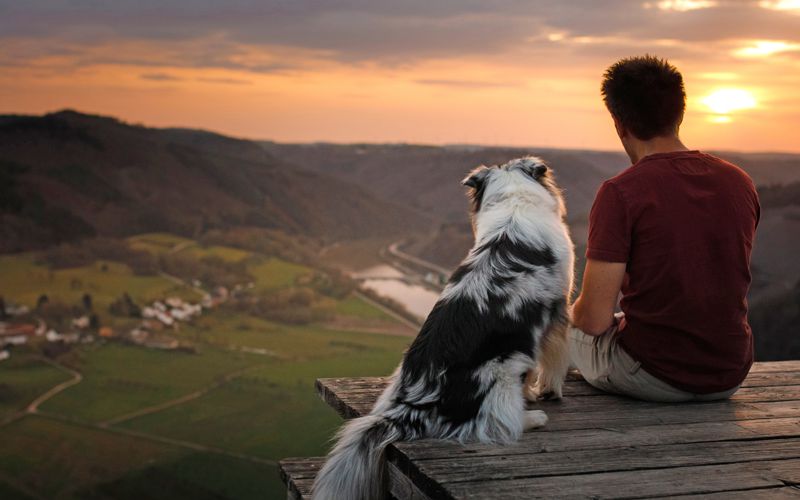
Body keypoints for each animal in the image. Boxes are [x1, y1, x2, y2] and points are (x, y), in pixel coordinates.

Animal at [312, 157, 576, 500]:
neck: (514, 203)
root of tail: (414, 406)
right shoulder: (556, 315)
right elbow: (550, 364)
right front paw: (544, 392)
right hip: (504, 368)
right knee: (498, 422)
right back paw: (531, 418)